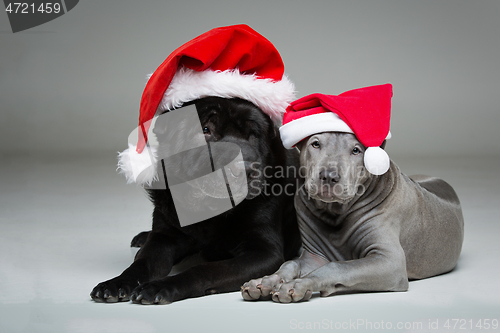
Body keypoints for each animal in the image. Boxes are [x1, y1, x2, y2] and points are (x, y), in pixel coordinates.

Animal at [91, 96, 300, 304]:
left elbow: (205, 269)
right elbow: (142, 262)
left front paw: (160, 286)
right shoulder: (164, 237)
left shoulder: (264, 251)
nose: (244, 169)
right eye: (205, 130)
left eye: (253, 135)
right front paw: (117, 282)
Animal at [240, 132, 462, 300]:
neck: (336, 212)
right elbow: (291, 263)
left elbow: (336, 267)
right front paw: (266, 281)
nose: (329, 176)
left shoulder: (390, 262)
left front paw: (299, 285)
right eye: (315, 143)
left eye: (356, 150)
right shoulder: (313, 256)